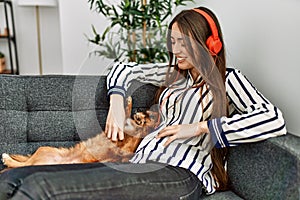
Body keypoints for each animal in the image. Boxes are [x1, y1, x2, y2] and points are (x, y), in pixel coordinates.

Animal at [1, 97, 159, 170]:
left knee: (21, 165)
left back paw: (6, 158)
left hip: (42, 151)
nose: (140, 113)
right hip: (44, 150)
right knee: (23, 164)